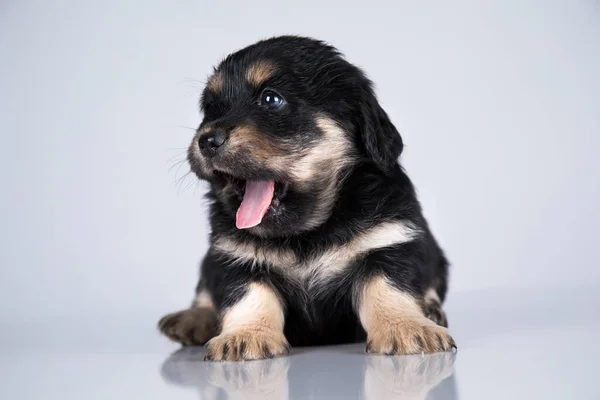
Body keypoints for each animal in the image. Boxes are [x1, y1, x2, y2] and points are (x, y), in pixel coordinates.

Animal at [159, 36, 454, 360]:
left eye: (271, 99)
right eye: (209, 108)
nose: (207, 140)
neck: (306, 231)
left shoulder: (389, 241)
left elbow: (388, 289)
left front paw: (406, 326)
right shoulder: (233, 256)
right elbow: (249, 295)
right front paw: (246, 335)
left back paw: (430, 310)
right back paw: (193, 318)